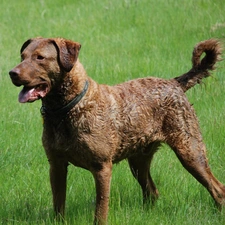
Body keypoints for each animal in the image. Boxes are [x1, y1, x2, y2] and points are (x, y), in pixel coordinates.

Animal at [8, 37, 225, 224]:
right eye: (22, 56)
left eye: (40, 57)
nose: (12, 73)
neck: (67, 110)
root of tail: (174, 83)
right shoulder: (56, 165)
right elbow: (58, 205)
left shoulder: (102, 167)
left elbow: (100, 210)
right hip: (138, 160)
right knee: (152, 191)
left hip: (190, 150)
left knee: (218, 189)